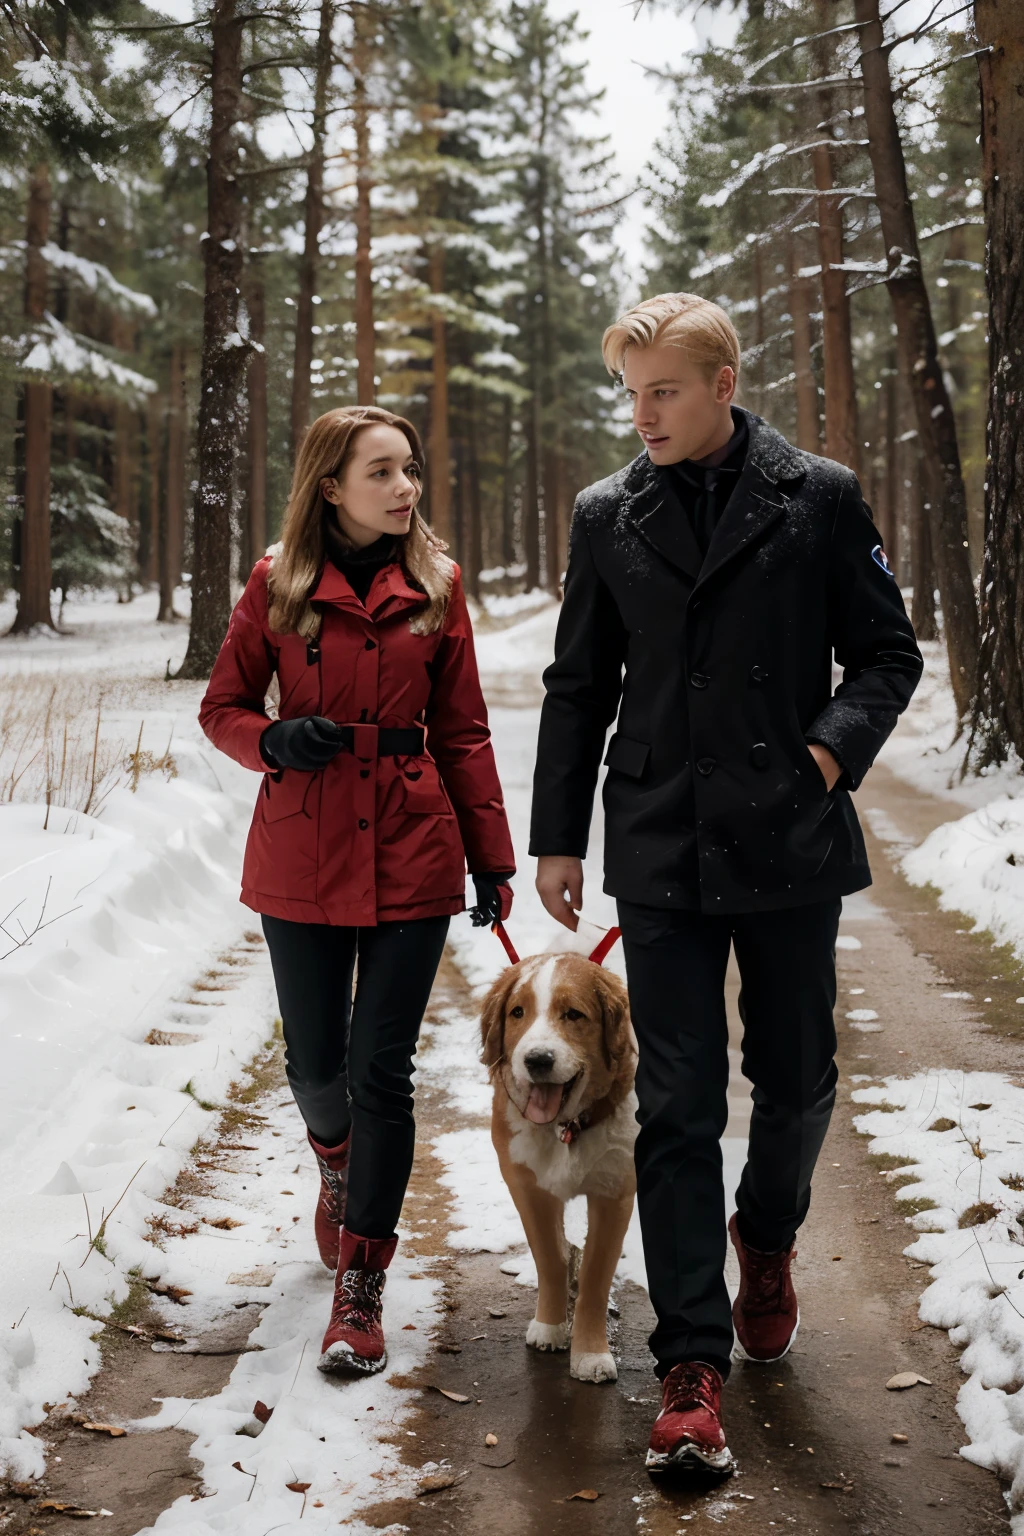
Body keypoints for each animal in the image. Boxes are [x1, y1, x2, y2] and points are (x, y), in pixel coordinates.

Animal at [482, 946, 641, 1382]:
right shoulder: (528, 1188)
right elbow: (551, 1258)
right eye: (517, 1012)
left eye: (573, 1014)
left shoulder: (614, 1192)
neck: (566, 1127)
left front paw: (590, 1354)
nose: (537, 1060)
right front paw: (551, 1326)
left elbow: (596, 1278)